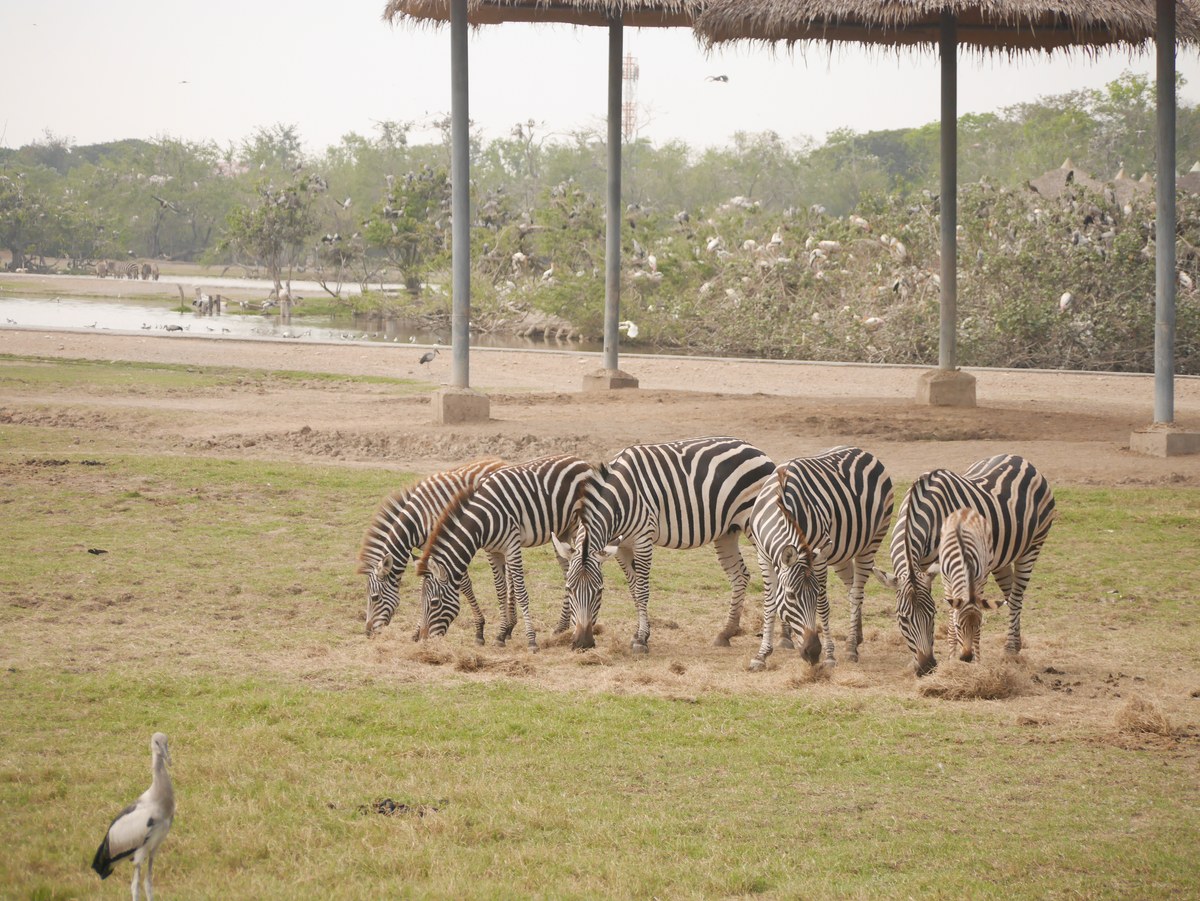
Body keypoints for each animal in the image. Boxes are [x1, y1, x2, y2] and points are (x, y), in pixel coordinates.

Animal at [358, 458, 506, 640]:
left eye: (375, 597)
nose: (368, 633)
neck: (418, 520)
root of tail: (497, 461)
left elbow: (464, 584)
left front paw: (479, 628)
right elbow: (425, 584)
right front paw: (417, 632)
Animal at [415, 454, 592, 650]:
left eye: (434, 602)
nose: (423, 641)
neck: (483, 521)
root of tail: (580, 460)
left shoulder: (512, 546)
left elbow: (521, 592)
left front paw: (531, 640)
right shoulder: (492, 551)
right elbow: (500, 591)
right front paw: (500, 635)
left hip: (578, 526)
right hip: (561, 533)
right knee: (567, 573)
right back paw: (562, 626)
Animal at [556, 436, 775, 653]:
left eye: (600, 591)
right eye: (569, 589)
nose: (583, 643)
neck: (619, 499)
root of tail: (755, 448)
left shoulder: (643, 539)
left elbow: (642, 590)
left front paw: (641, 639)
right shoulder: (621, 547)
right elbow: (633, 589)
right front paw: (638, 633)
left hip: (753, 522)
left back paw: (779, 639)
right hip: (727, 531)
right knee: (740, 576)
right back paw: (726, 633)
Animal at [746, 446, 893, 671]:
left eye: (814, 595)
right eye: (790, 596)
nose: (813, 652)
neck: (784, 506)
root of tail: (864, 451)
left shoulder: (819, 557)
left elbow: (824, 605)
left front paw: (830, 656)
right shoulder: (763, 555)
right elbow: (769, 603)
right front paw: (761, 655)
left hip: (872, 543)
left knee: (857, 593)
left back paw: (851, 647)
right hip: (841, 554)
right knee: (852, 589)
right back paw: (856, 637)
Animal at [935, 508, 996, 663]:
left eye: (978, 626)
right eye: (958, 626)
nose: (967, 658)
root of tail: (965, 510)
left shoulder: (978, 583)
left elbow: (977, 637)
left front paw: (978, 662)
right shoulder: (947, 585)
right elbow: (951, 624)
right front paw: (951, 659)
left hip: (987, 569)